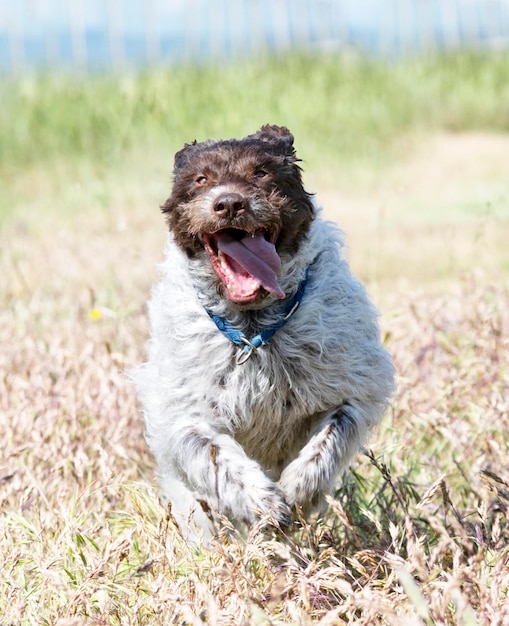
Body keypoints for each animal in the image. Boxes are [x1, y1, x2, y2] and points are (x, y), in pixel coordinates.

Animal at [133, 125, 394, 536]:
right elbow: (215, 455)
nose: (229, 203)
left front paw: (300, 491)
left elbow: (330, 437)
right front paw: (263, 503)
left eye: (261, 172)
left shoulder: (353, 389)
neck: (253, 331)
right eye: (201, 179)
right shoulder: (182, 414)